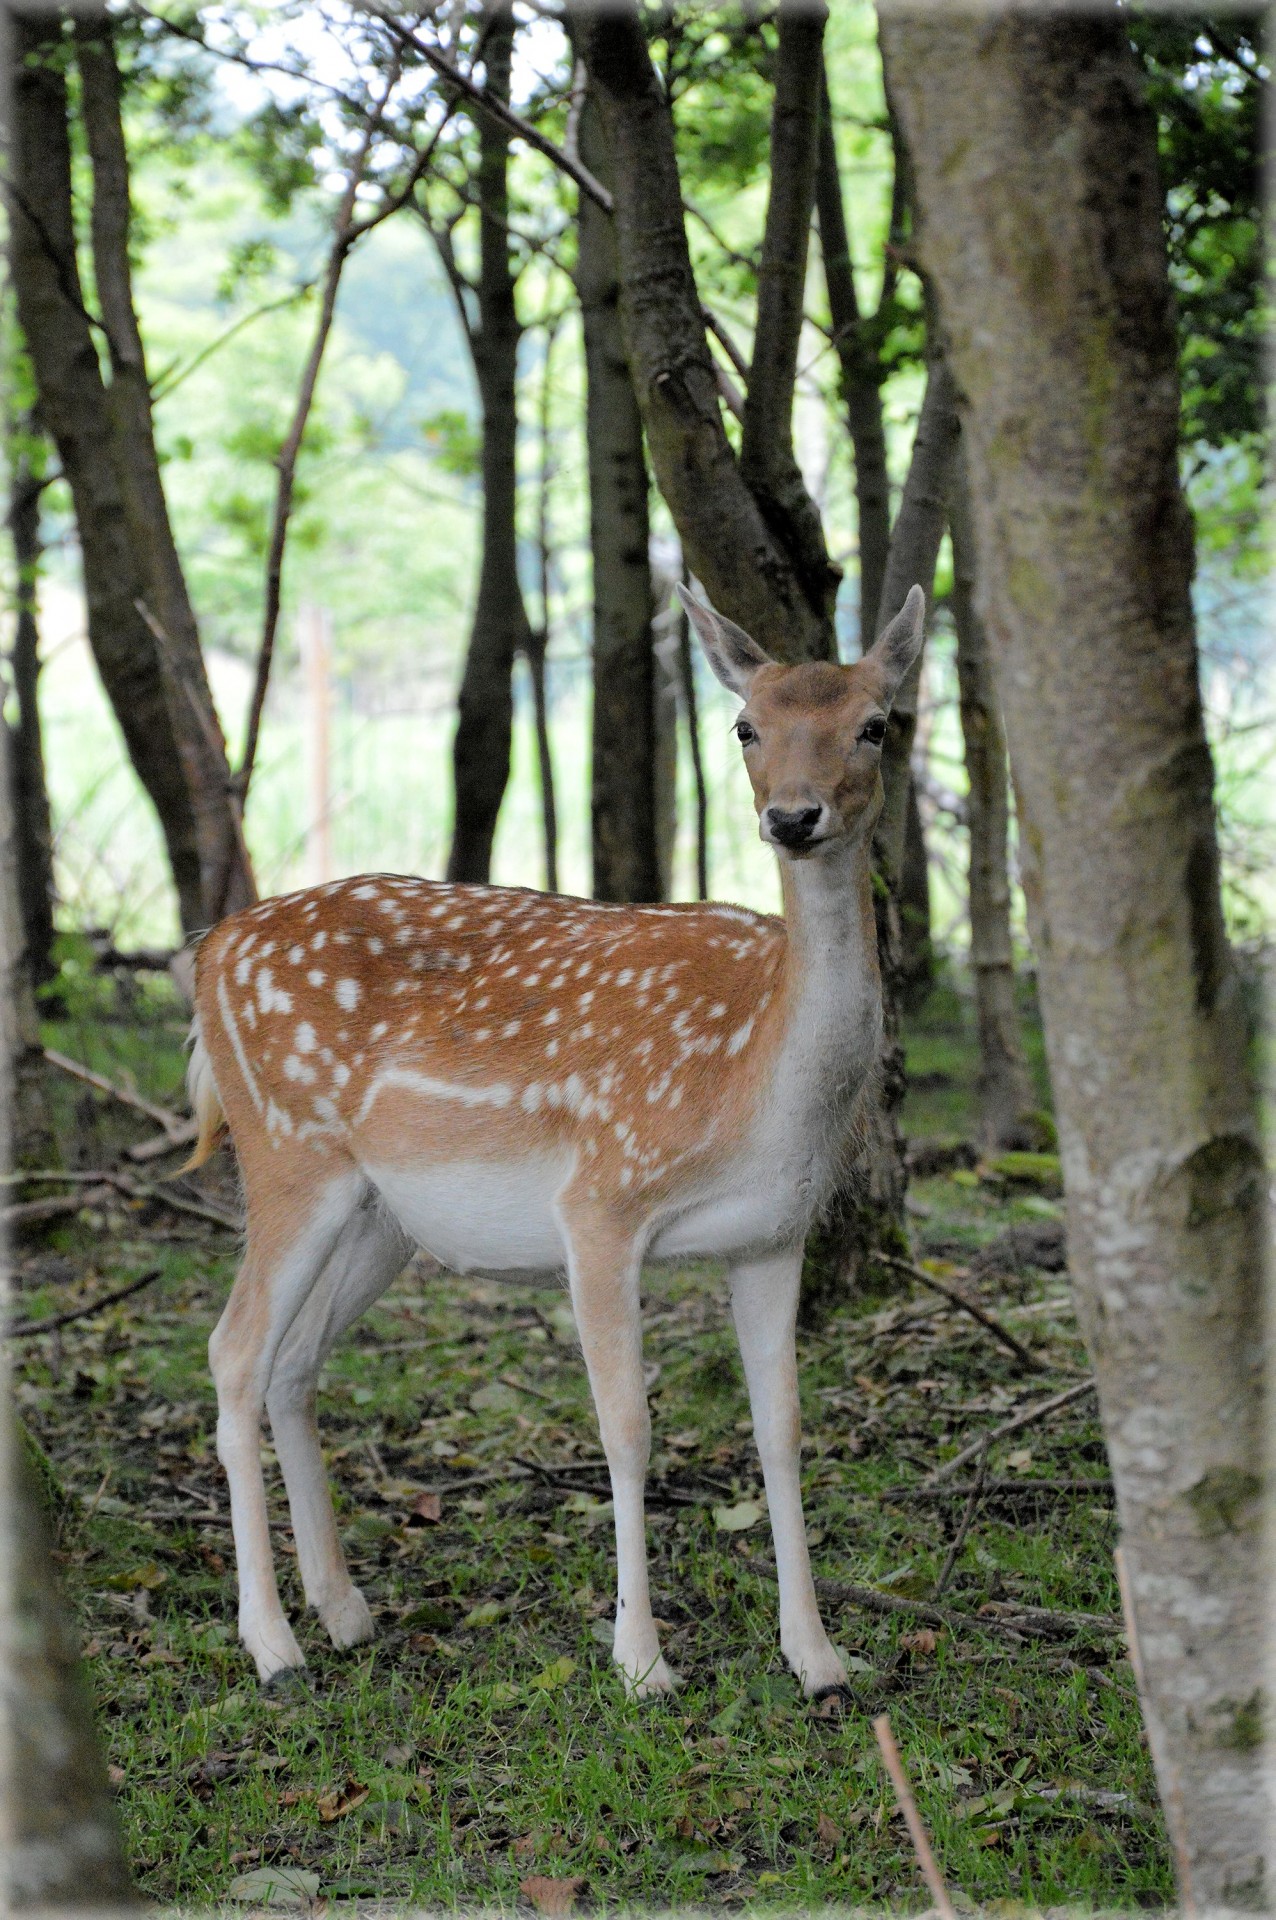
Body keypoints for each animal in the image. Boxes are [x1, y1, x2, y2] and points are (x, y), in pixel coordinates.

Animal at [187, 579, 924, 1697]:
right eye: (745, 725)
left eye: (876, 724)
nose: (793, 817)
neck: (755, 1082)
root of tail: (204, 955)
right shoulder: (601, 1202)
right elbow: (626, 1428)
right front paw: (641, 1662)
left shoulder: (772, 1233)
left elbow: (784, 1429)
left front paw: (819, 1657)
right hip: (284, 1155)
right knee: (231, 1353)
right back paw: (271, 1645)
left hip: (378, 1215)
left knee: (292, 1361)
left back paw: (344, 1611)